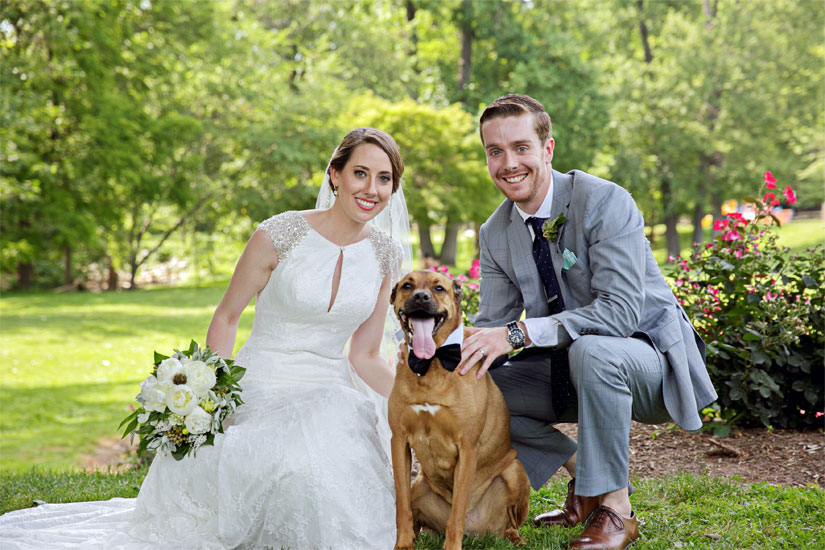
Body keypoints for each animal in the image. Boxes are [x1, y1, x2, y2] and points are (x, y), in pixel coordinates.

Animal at [388, 270, 530, 550]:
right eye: (407, 286)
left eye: (439, 288)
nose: (420, 297)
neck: (432, 362)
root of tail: (478, 532)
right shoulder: (398, 440)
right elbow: (402, 505)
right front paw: (403, 544)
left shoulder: (467, 447)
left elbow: (457, 513)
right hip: (419, 486)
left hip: (515, 470)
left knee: (510, 523)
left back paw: (515, 539)